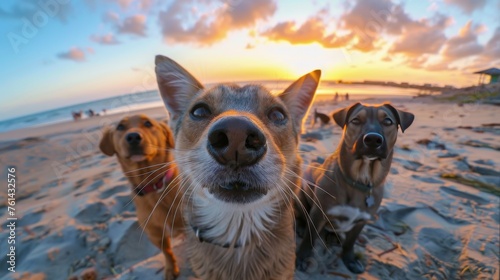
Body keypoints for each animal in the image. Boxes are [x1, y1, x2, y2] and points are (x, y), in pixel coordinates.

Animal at [98, 114, 184, 280]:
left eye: (148, 123)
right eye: (120, 127)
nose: (133, 137)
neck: (155, 186)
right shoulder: (155, 234)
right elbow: (167, 252)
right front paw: (171, 268)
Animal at [296, 102, 414, 274]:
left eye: (387, 121)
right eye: (356, 120)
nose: (373, 139)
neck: (360, 180)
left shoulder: (361, 221)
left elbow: (350, 243)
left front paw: (350, 260)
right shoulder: (318, 213)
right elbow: (309, 238)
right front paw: (303, 257)